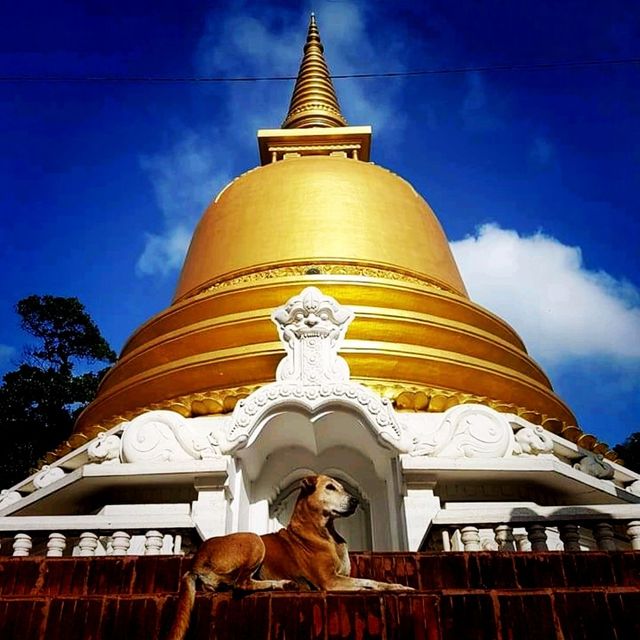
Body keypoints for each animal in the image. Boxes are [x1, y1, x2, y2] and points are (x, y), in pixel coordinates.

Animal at [168, 472, 412, 636]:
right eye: (330, 487)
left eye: (341, 487)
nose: (354, 501)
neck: (325, 532)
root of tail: (196, 561)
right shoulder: (330, 581)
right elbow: (368, 582)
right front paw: (377, 588)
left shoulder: (341, 576)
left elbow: (375, 581)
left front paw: (397, 586)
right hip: (254, 540)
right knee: (241, 584)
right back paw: (282, 584)